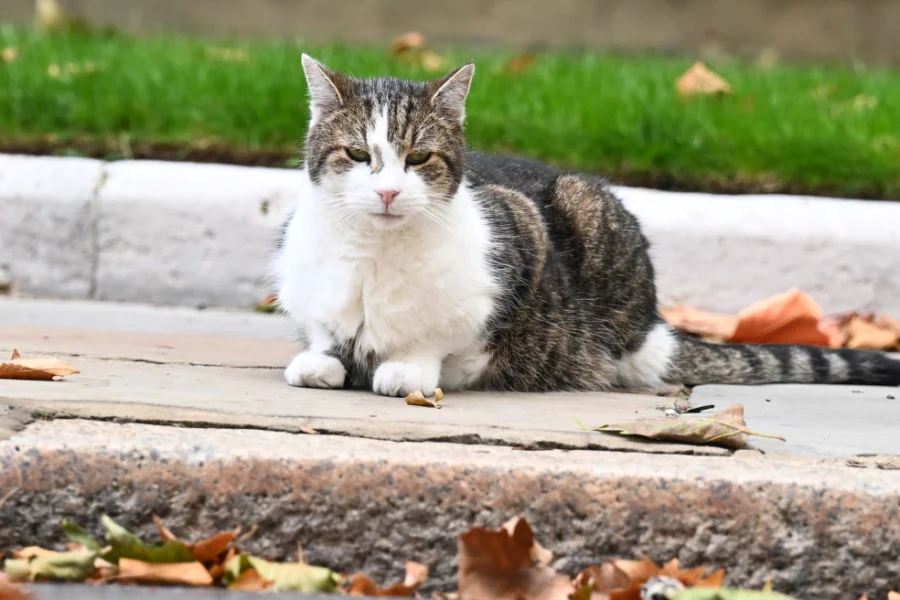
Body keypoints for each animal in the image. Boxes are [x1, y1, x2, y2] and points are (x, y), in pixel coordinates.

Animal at [274, 54, 900, 396]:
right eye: (359, 155)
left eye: (419, 158)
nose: (386, 190)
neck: (374, 255)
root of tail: (654, 327)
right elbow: (326, 333)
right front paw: (324, 360)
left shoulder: (519, 241)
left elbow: (442, 340)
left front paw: (407, 367)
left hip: (587, 206)